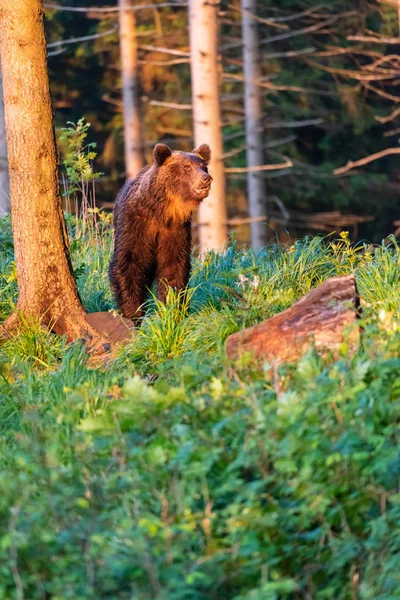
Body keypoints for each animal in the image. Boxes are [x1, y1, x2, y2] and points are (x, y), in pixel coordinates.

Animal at [106, 142, 212, 322]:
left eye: (204, 166)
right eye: (186, 167)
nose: (206, 178)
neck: (161, 212)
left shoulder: (175, 230)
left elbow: (173, 267)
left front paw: (173, 310)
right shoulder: (135, 225)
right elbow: (129, 263)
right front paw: (133, 313)